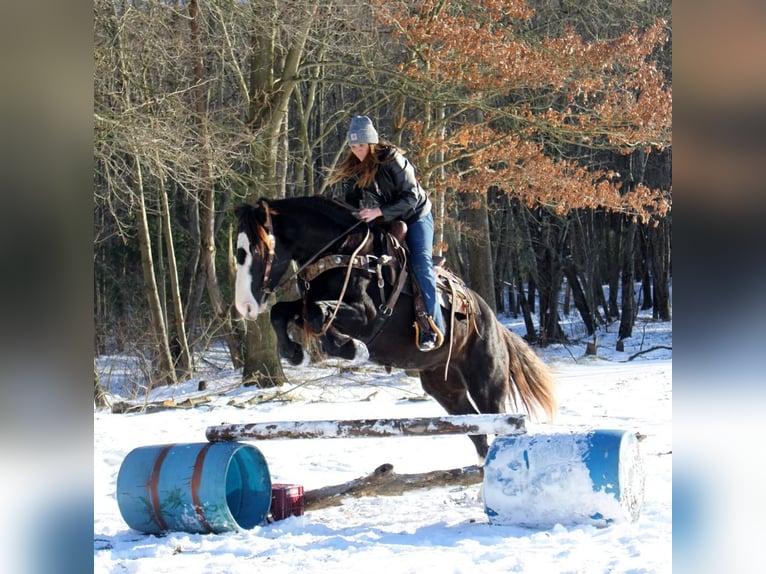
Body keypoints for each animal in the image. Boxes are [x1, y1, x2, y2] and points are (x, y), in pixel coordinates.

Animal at [234, 197, 560, 460]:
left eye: (253, 250)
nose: (245, 307)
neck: (343, 253)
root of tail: (493, 321)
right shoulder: (311, 302)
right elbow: (284, 312)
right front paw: (294, 353)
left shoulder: (368, 316)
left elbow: (318, 314)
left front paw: (353, 349)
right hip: (447, 390)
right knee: (477, 433)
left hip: (487, 384)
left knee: (498, 421)